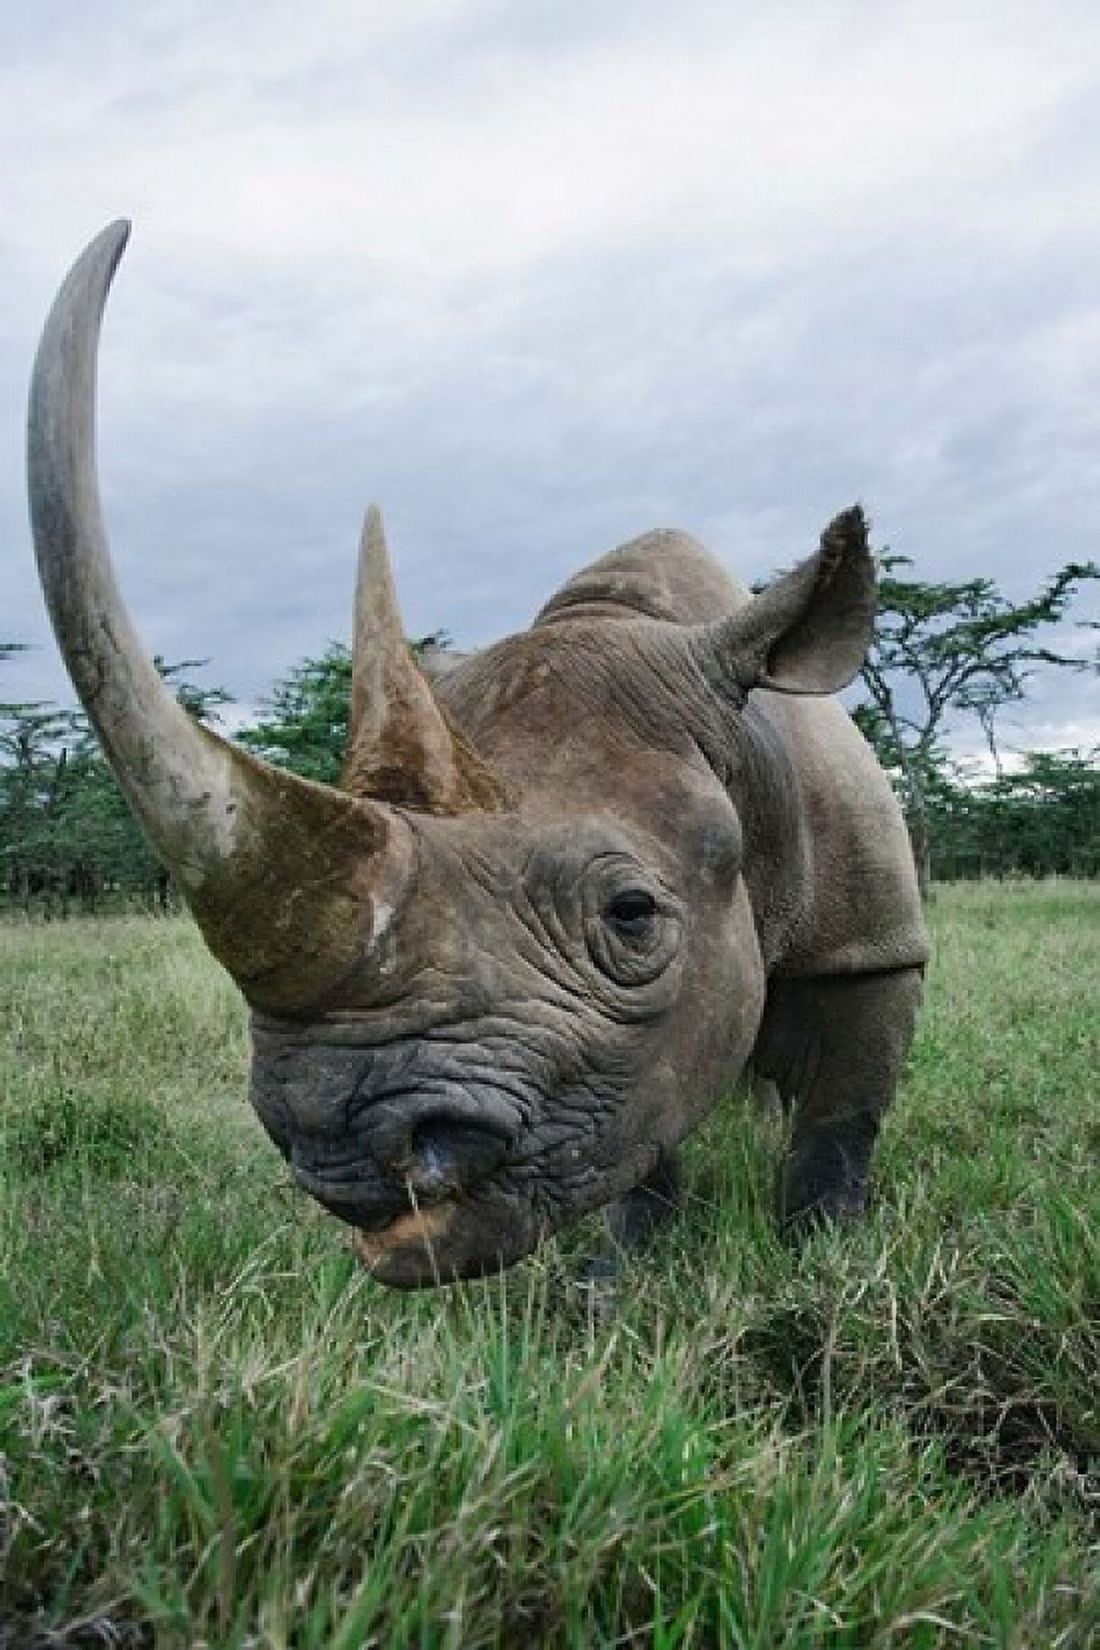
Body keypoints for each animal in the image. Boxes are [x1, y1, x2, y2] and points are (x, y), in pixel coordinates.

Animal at [27, 222, 929, 1287]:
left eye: (631, 916)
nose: (341, 1141)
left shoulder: (872, 945)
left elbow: (841, 1114)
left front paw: (829, 1261)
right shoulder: (628, 1055)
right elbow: (642, 1134)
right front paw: (618, 1283)